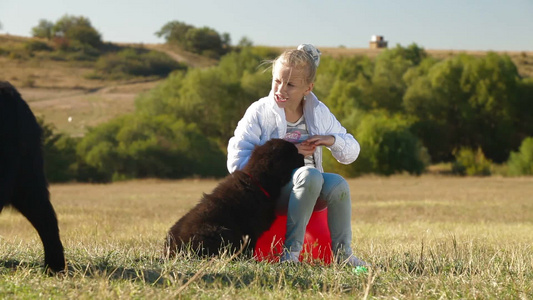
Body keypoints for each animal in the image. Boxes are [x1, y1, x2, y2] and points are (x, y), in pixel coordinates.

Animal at [164, 139, 304, 258]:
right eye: (293, 154)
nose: (303, 156)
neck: (257, 181)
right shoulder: (250, 228)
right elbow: (249, 246)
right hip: (218, 230)